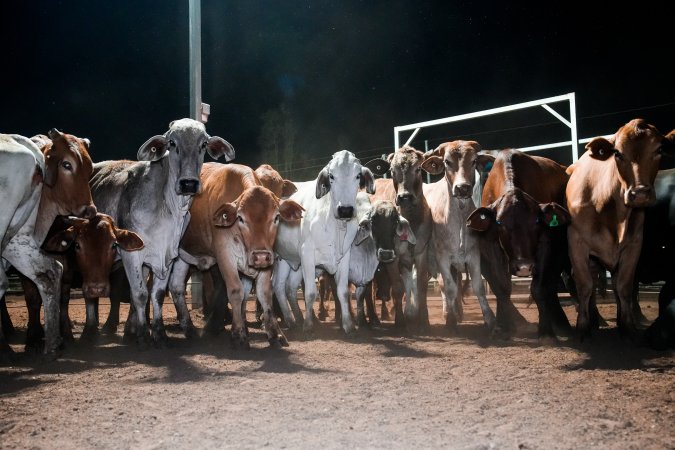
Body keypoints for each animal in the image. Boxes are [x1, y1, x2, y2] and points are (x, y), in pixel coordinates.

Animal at [169, 163, 304, 348]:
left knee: (176, 287)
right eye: (240, 218)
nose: (259, 256)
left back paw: (190, 329)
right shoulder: (224, 256)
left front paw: (275, 334)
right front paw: (239, 334)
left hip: (184, 256)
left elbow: (264, 293)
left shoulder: (268, 257)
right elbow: (235, 291)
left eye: (276, 217)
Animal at [276, 149, 380, 332]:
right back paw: (291, 321)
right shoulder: (307, 256)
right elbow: (311, 292)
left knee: (289, 288)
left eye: (358, 175)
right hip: (280, 260)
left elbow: (343, 292)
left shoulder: (343, 258)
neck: (335, 226)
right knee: (278, 288)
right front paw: (308, 325)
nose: (345, 210)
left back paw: (296, 319)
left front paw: (348, 325)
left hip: (294, 263)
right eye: (331, 176)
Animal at [468, 149, 572, 340]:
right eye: (499, 223)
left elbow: (539, 288)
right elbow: (501, 287)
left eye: (537, 221)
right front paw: (503, 327)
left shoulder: (546, 245)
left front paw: (546, 332)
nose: (523, 267)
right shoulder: (490, 245)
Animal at [568, 118, 672, 340]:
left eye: (659, 149)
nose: (640, 193)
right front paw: (582, 327)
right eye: (618, 153)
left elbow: (623, 286)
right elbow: (584, 285)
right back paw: (593, 320)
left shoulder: (634, 244)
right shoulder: (576, 242)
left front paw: (628, 327)